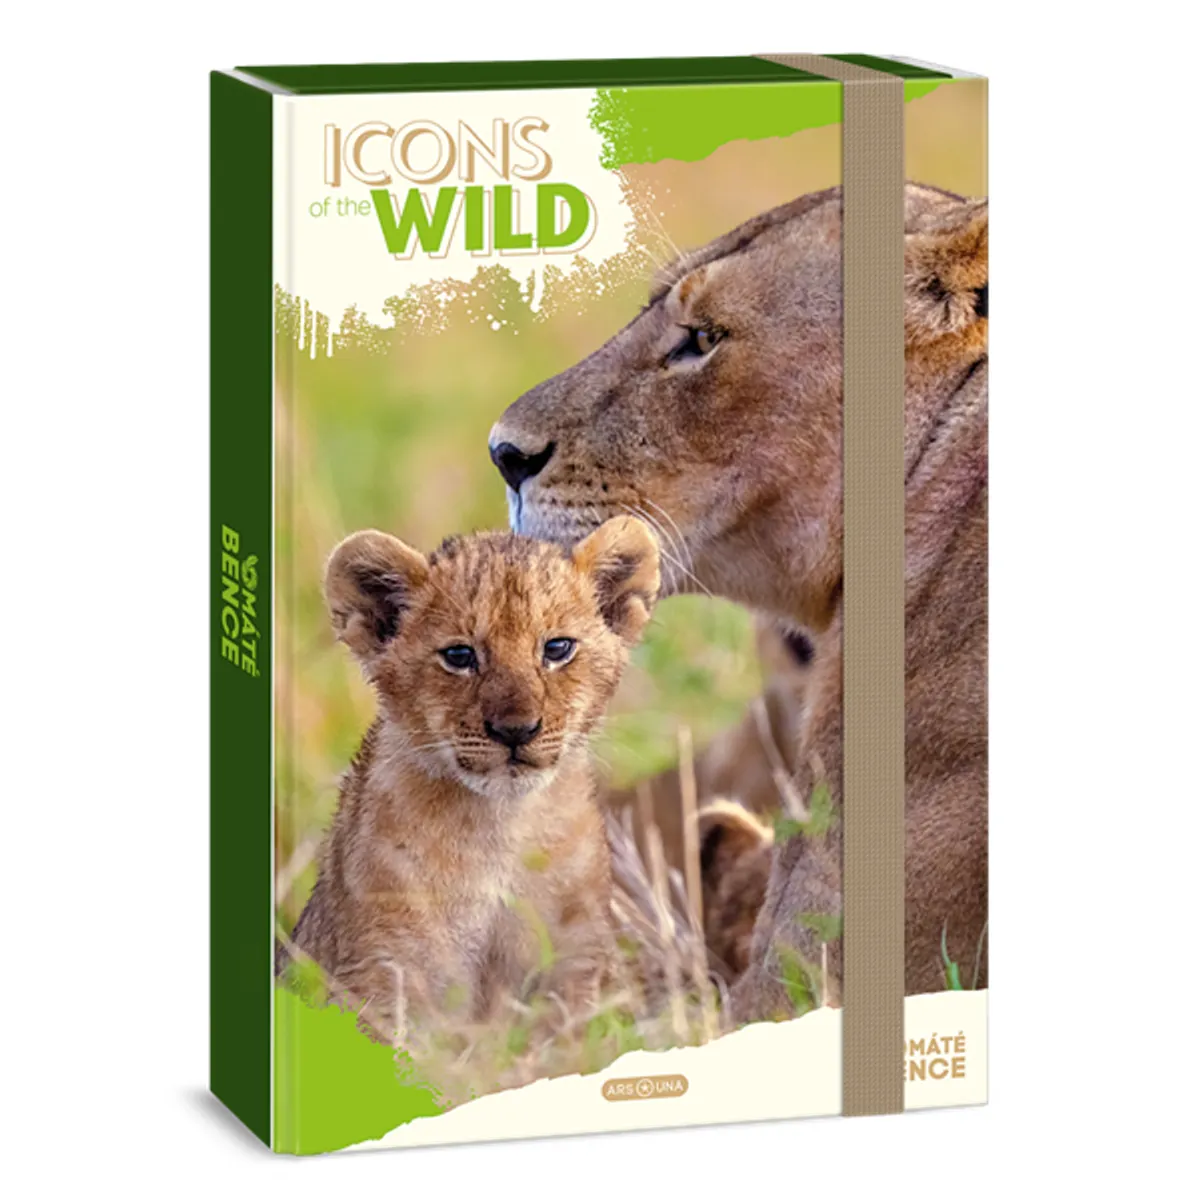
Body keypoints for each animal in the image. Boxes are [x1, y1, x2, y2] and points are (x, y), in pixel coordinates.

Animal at [277, 518, 661, 1037]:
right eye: (459, 655)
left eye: (557, 648)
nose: (515, 730)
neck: (500, 830)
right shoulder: (382, 971)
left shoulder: (576, 964)